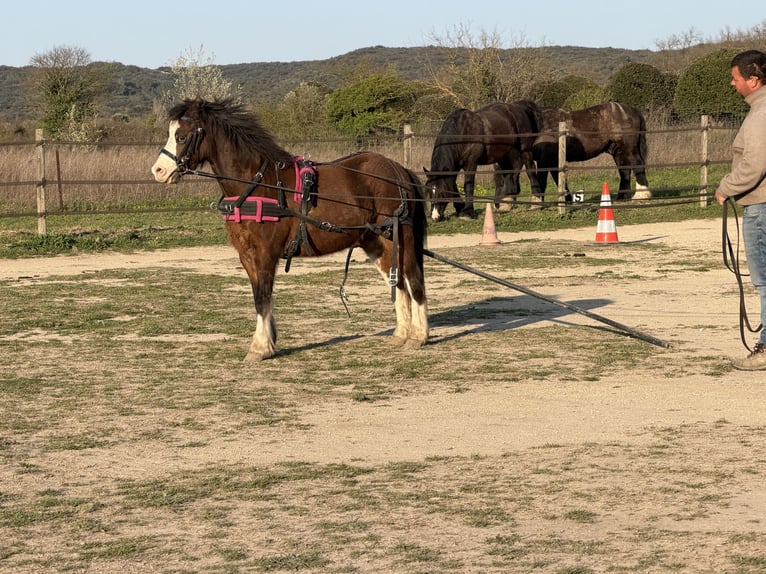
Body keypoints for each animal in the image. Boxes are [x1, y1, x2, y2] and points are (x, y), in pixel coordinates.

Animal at [151, 98, 428, 361]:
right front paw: (269, 341)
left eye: (181, 136)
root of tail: (399, 169)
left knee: (413, 279)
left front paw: (260, 347)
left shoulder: (265, 254)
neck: (257, 184)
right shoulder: (247, 255)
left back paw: (418, 335)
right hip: (377, 241)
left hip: (401, 236)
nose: (158, 171)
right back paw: (402, 333)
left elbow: (262, 297)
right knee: (397, 280)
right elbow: (261, 297)